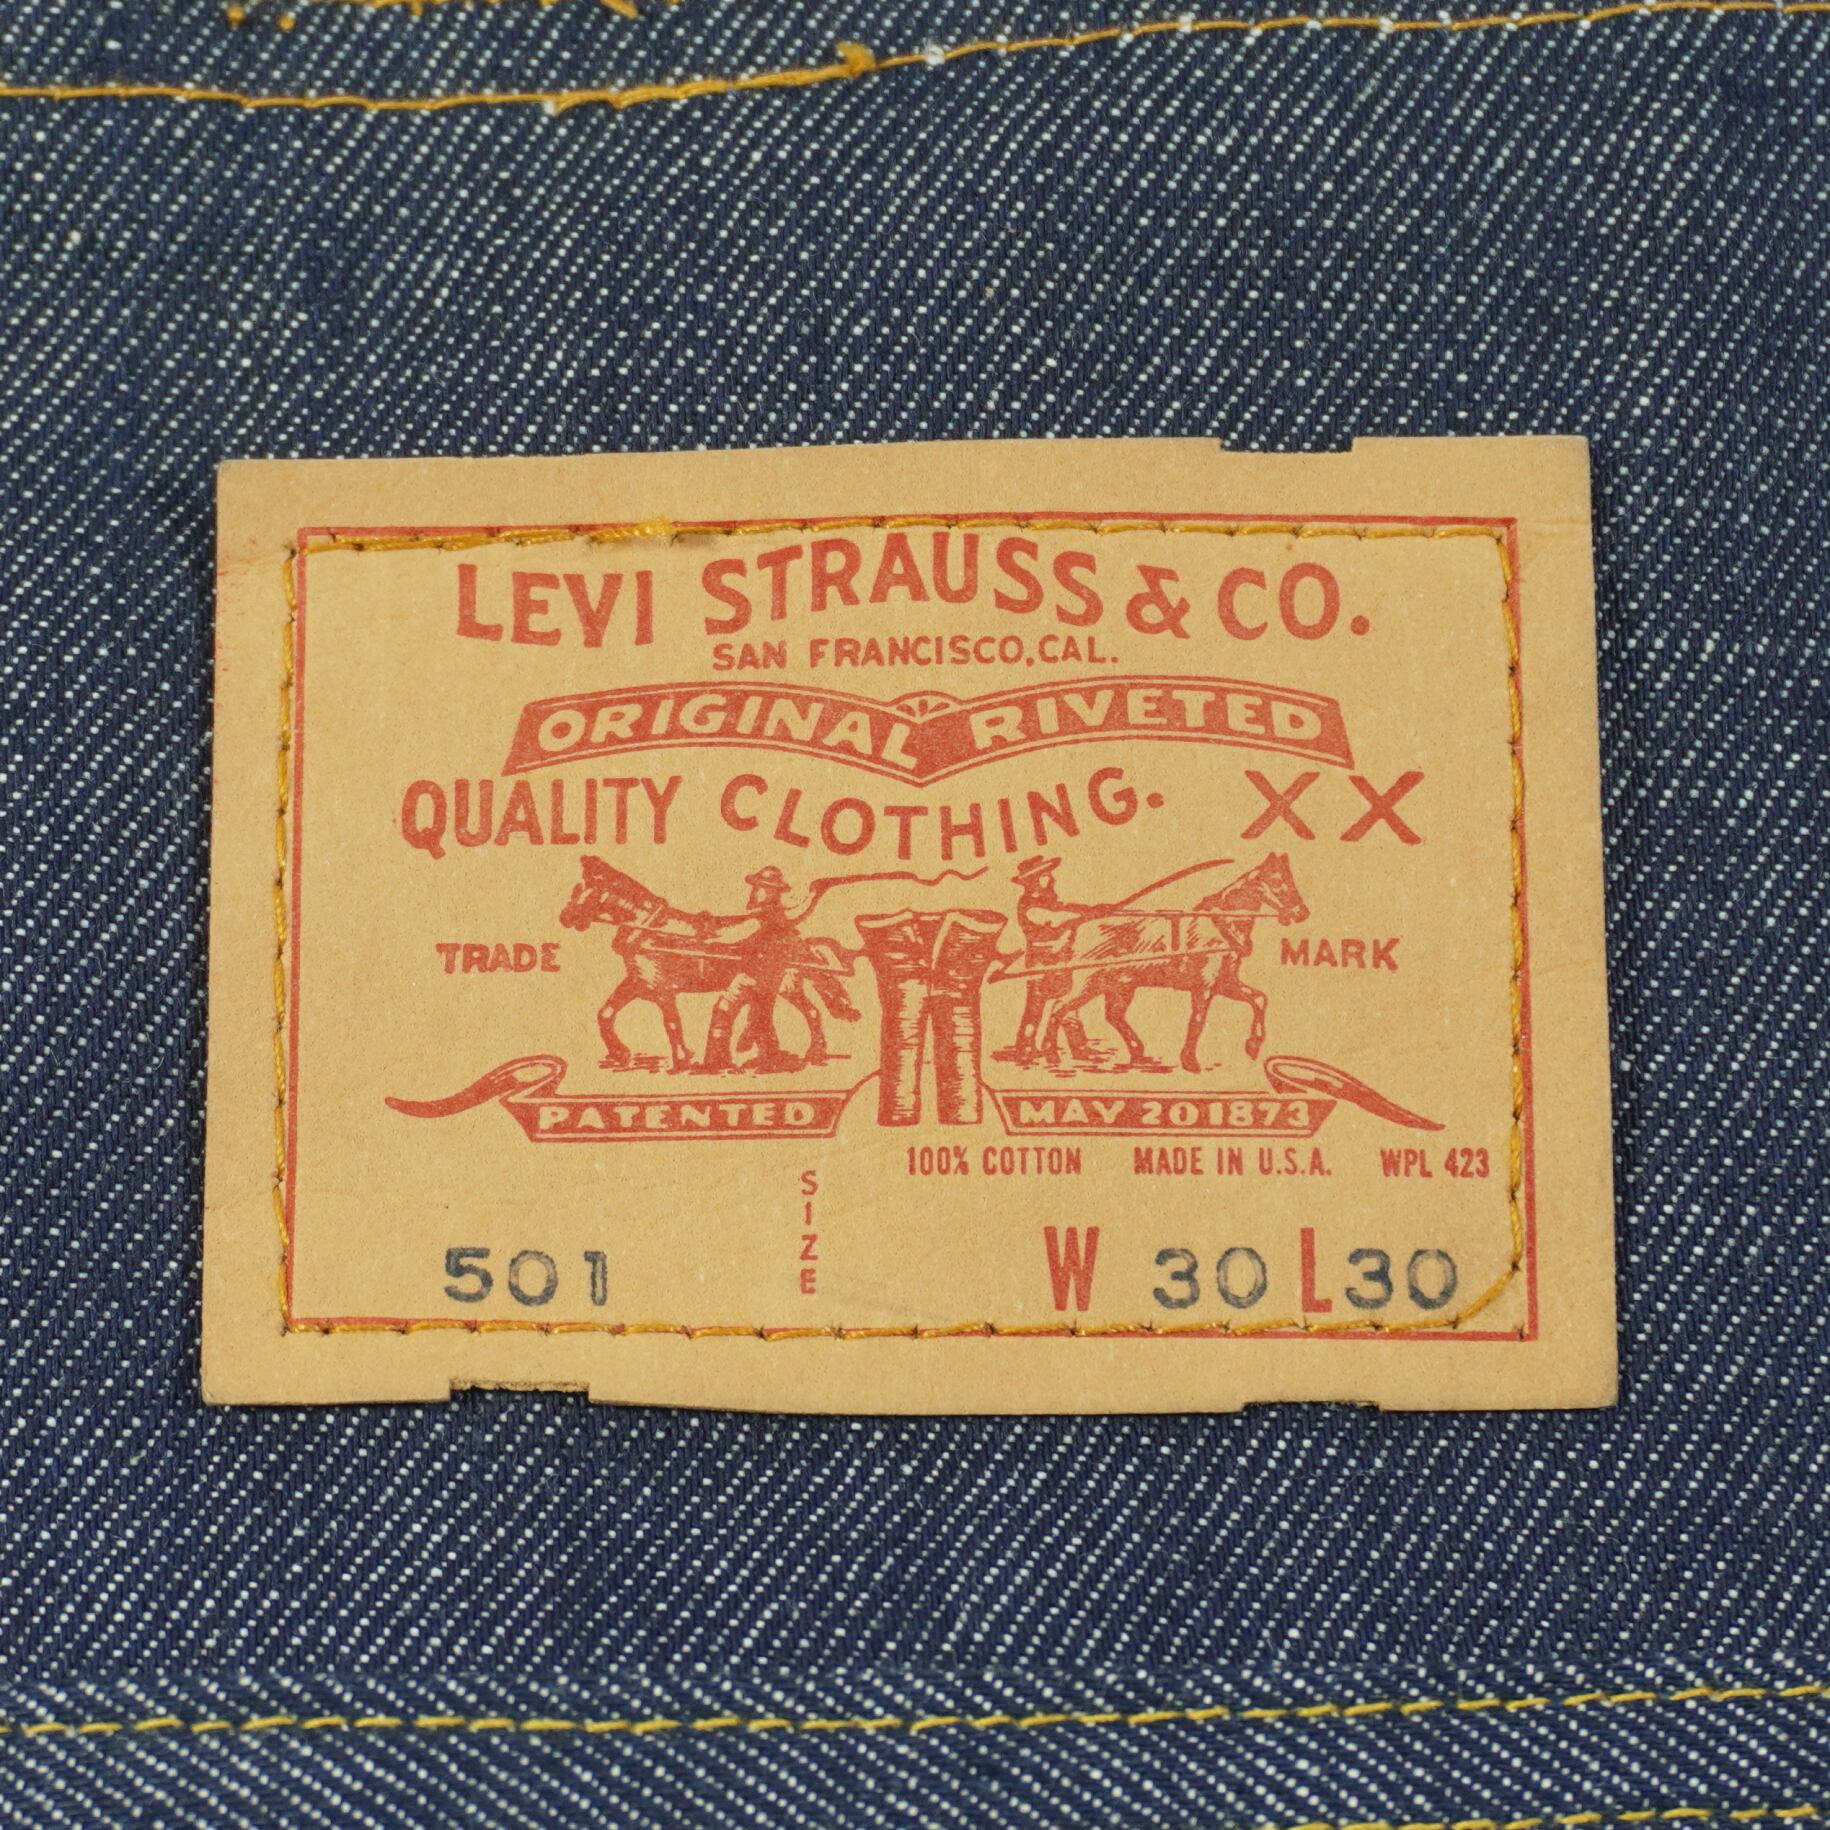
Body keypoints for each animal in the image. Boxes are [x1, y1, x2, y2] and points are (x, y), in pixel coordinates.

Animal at [557, 857, 860, 1073]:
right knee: (804, 1012)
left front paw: (682, 1060)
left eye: (584, 889)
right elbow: (606, 1013)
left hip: (784, 984)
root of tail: (794, 935)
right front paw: (620, 1054)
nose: (565, 917)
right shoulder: (637, 982)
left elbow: (671, 1023)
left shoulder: (663, 989)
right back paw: (795, 1055)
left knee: (807, 1012)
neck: (649, 929)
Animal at [1036, 853, 1309, 1074]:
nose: (1301, 913)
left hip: (1120, 985)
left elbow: (1259, 999)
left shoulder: (1225, 982)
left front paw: (1253, 1045)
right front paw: (1190, 1061)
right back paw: (1051, 1053)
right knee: (1059, 1007)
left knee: (1111, 1015)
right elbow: (1197, 1021)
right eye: (1277, 882)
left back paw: (1137, 1053)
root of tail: (1077, 926)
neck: (1220, 925)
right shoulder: (1204, 987)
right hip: (1090, 983)